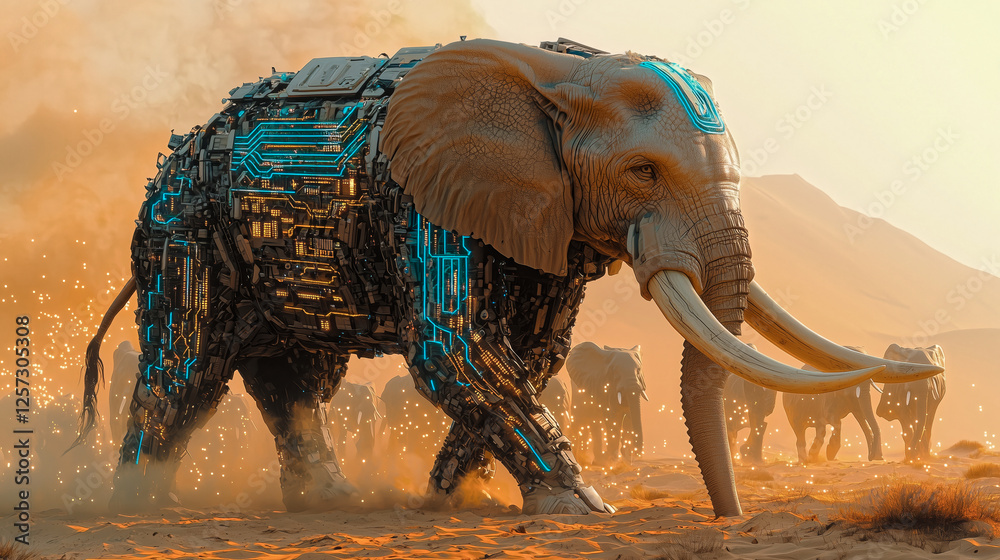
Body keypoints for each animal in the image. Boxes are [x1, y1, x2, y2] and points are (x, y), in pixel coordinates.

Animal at [73, 37, 941, 517]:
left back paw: (328, 502)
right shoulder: (423, 202)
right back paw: (137, 502)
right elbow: (454, 347)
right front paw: (582, 508)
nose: (725, 519)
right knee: (186, 372)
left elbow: (530, 352)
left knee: (293, 378)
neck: (555, 72)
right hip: (183, 233)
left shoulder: (547, 212)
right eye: (643, 172)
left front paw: (446, 496)